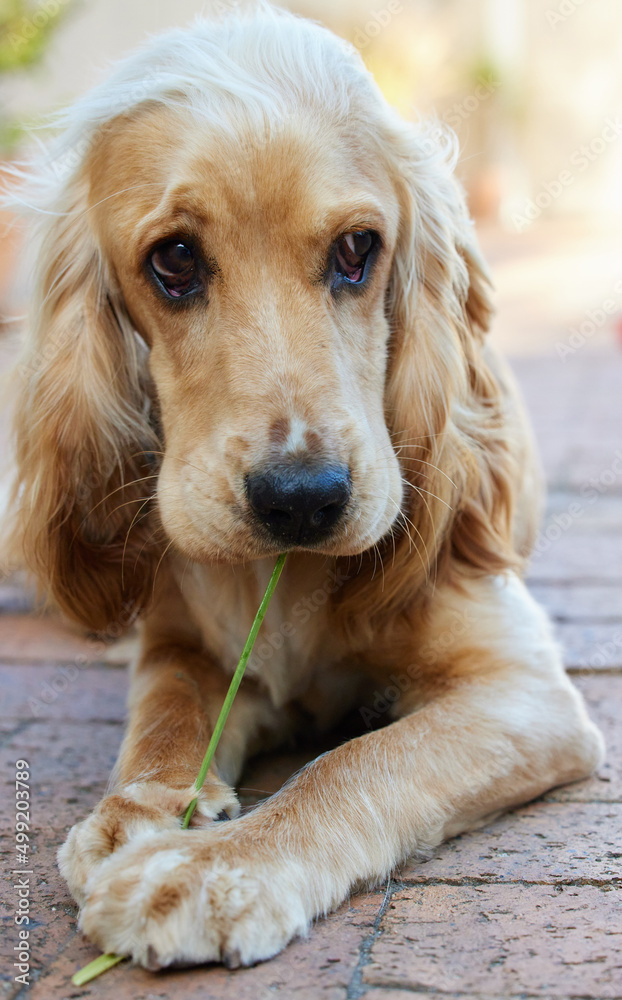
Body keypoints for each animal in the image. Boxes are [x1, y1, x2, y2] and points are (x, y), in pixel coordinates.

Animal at [3, 0, 604, 968]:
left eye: (358, 249)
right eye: (174, 261)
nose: (303, 499)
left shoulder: (523, 691)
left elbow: (356, 763)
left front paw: (207, 869)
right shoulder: (184, 640)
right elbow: (167, 708)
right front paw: (138, 811)